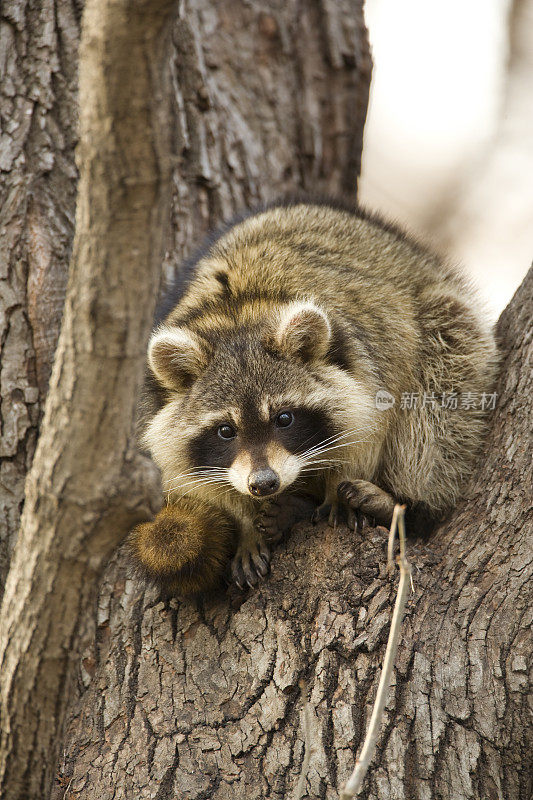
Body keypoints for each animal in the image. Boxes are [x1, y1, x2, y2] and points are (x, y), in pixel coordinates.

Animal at [131, 200, 496, 592]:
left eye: (284, 418)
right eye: (225, 430)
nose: (264, 484)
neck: (237, 314)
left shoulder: (369, 359)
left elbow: (366, 432)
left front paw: (337, 486)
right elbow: (196, 479)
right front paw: (244, 523)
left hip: (440, 324)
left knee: (442, 391)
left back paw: (402, 502)